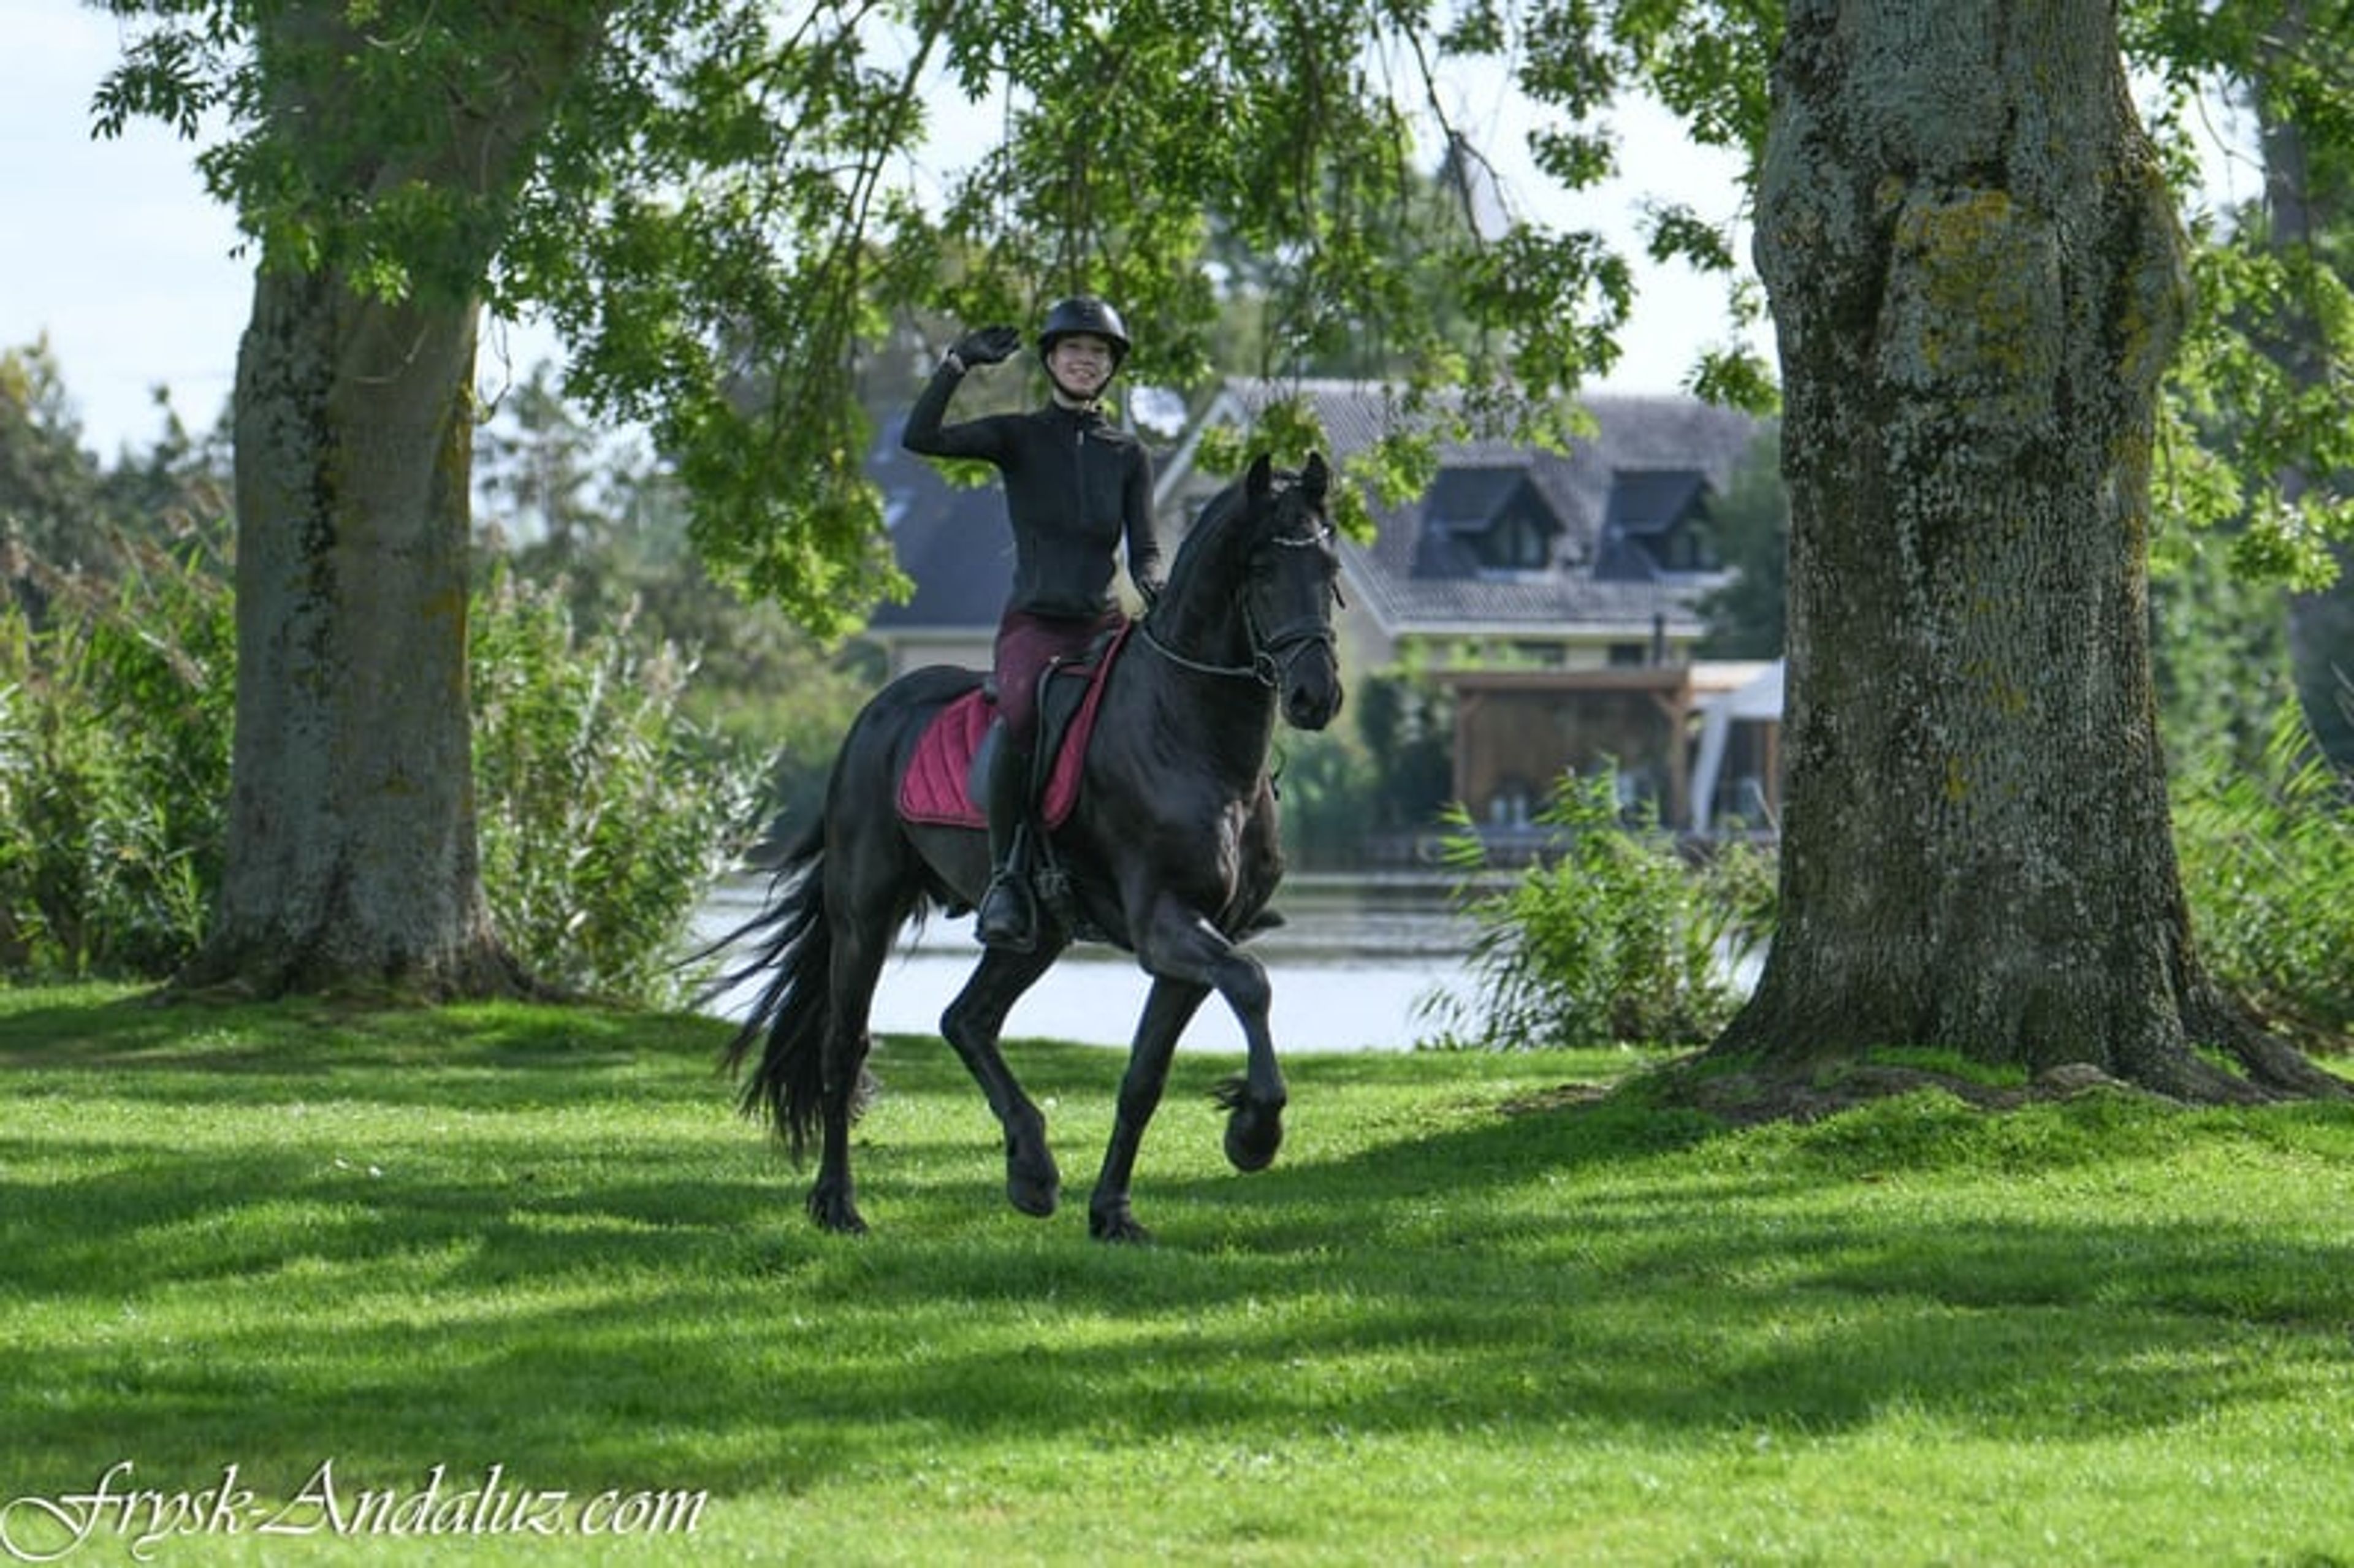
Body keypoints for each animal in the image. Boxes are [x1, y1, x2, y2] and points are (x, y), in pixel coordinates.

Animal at [716, 452, 1345, 1242]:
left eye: (1330, 564)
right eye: (1261, 568)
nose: (1316, 696)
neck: (1192, 734)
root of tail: (875, 714)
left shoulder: (1203, 935)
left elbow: (1146, 1075)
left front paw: (1114, 1212)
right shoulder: (1166, 924)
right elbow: (1253, 981)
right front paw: (1255, 1133)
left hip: (1034, 934)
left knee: (967, 1020)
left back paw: (1032, 1168)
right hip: (865, 915)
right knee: (845, 1045)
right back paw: (839, 1203)